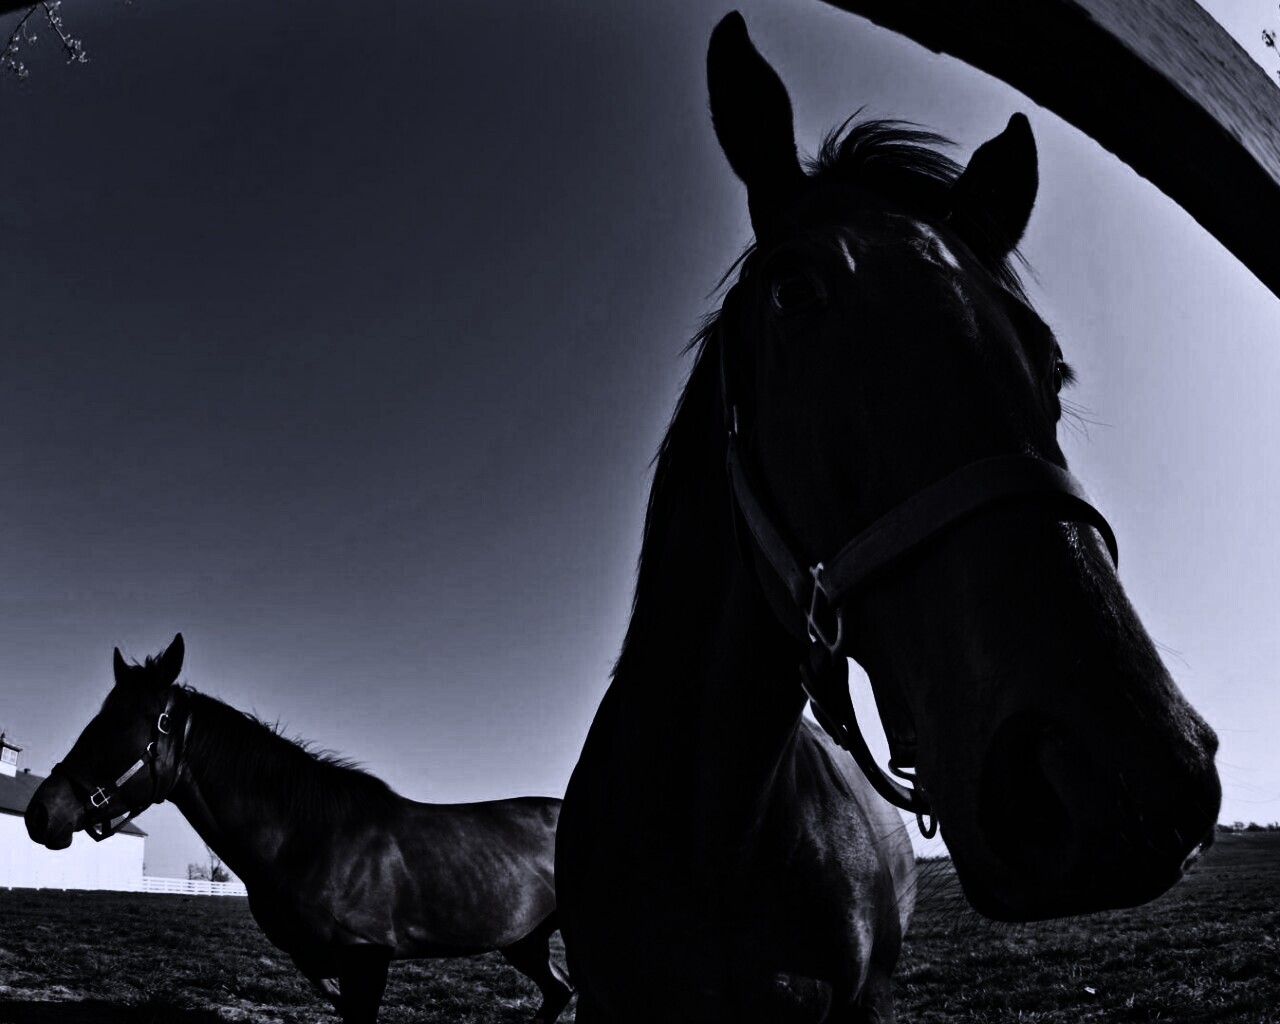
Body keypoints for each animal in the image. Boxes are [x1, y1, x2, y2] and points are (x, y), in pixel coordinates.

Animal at [24, 634, 573, 1024]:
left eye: (121, 724)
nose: (40, 814)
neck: (310, 838)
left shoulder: (367, 963)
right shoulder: (323, 965)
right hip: (524, 941)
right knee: (559, 992)